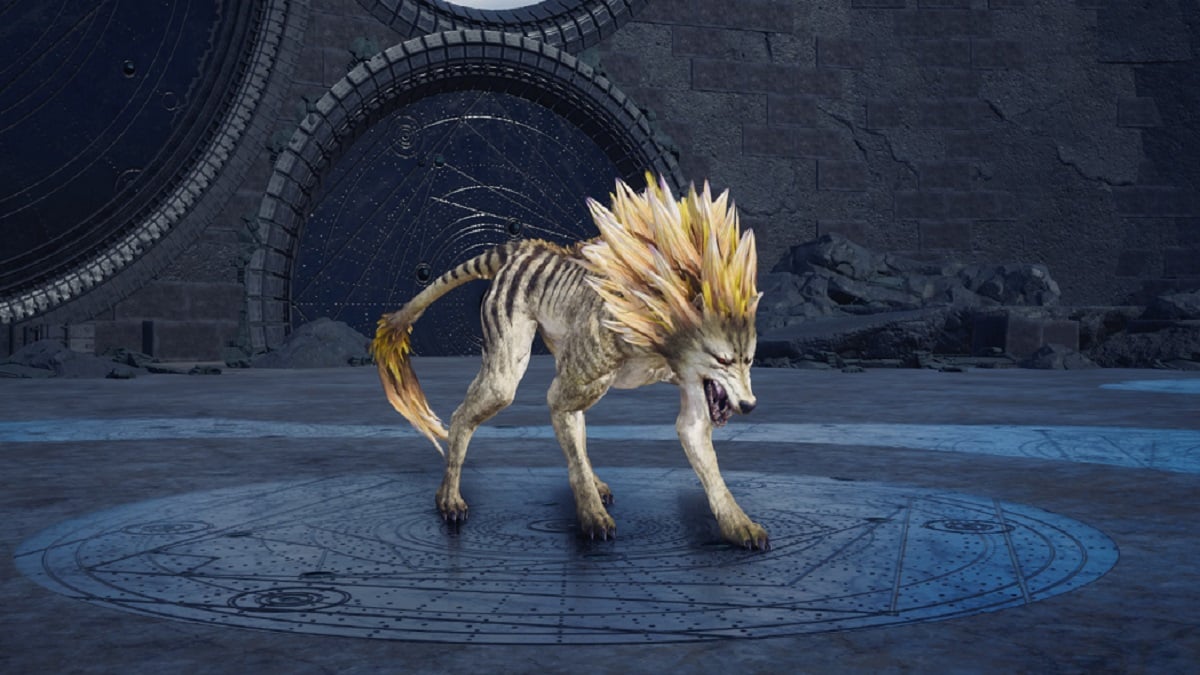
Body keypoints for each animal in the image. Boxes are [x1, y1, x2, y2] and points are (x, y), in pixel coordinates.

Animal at [371, 174, 767, 549]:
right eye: (722, 359)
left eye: (749, 360)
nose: (749, 405)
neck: (663, 334)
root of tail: (520, 249)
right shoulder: (582, 376)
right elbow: (567, 436)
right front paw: (592, 518)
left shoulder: (691, 388)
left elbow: (701, 452)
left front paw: (739, 525)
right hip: (508, 374)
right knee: (465, 415)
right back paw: (449, 498)